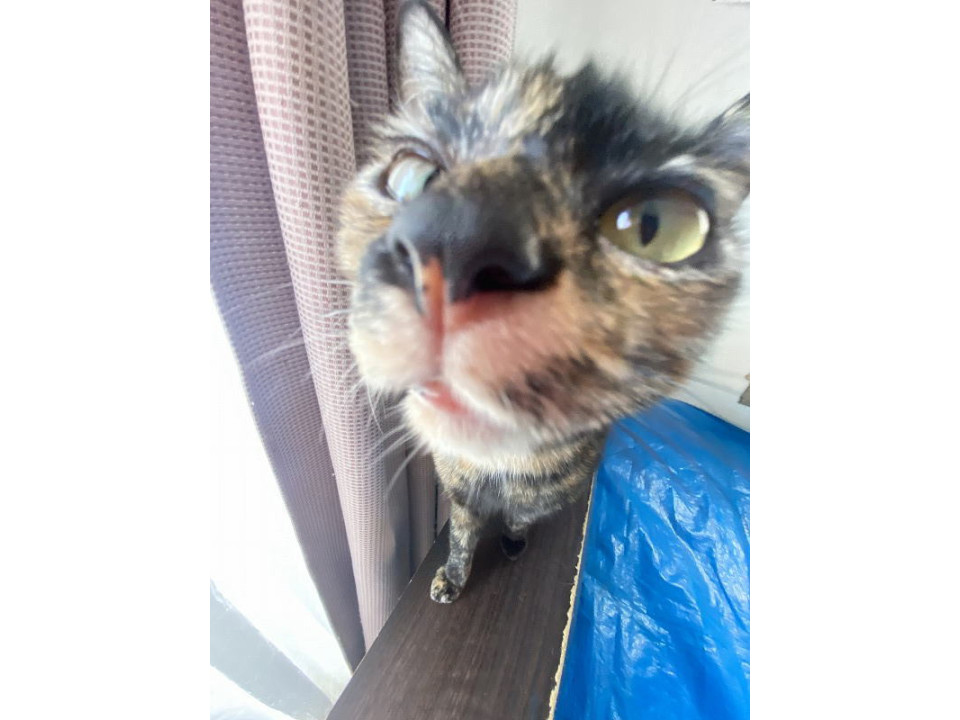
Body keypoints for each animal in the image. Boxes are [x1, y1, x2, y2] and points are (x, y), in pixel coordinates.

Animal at [337, 0, 749, 603]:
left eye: (653, 226)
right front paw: (452, 577)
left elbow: (521, 516)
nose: (458, 242)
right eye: (416, 176)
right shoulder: (457, 487)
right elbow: (461, 535)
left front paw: (512, 539)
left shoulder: (551, 491)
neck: (499, 469)